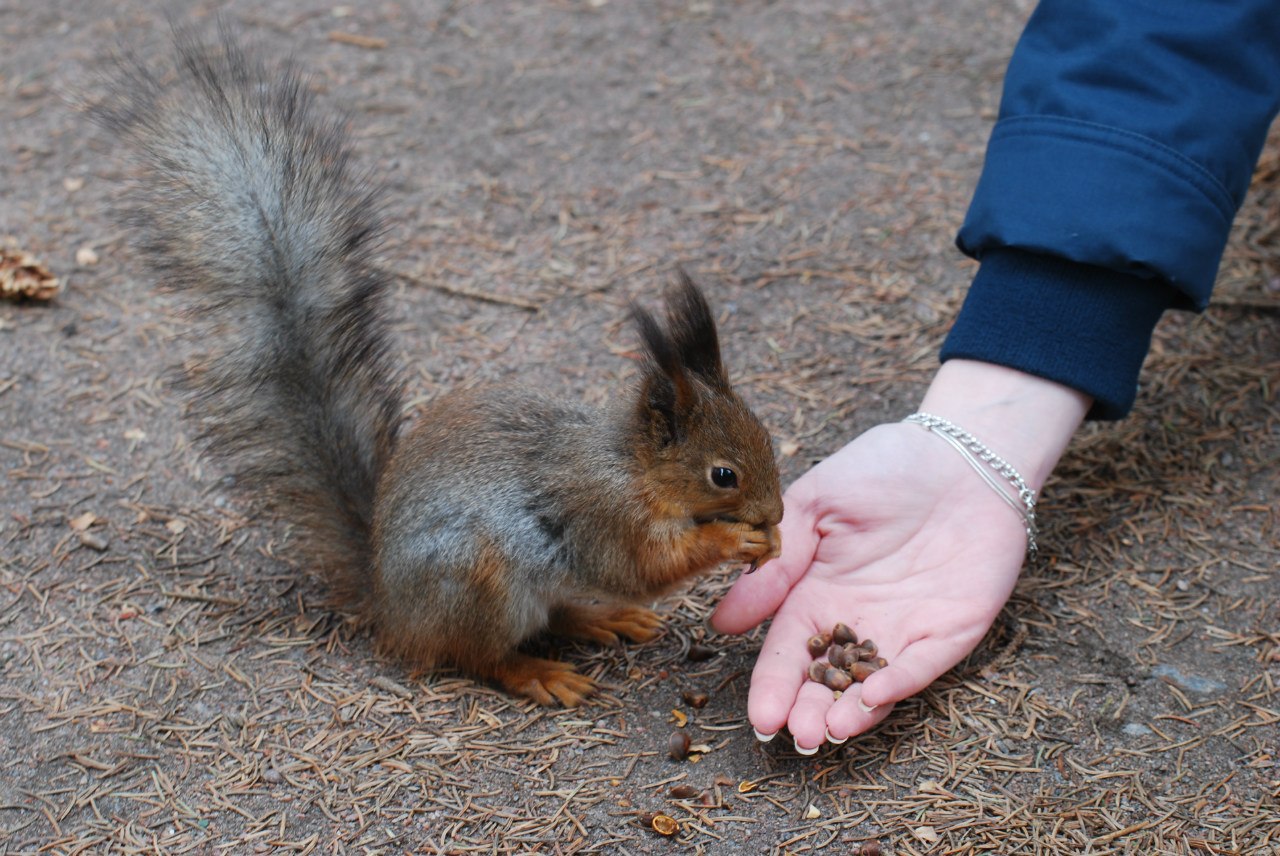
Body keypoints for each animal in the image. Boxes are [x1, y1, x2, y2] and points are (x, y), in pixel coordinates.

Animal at [97, 31, 778, 701]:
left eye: (768, 439)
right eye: (723, 475)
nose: (774, 515)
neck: (633, 467)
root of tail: (391, 606)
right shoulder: (605, 514)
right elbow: (645, 566)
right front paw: (733, 539)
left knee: (553, 615)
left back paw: (602, 619)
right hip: (479, 580)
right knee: (477, 656)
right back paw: (540, 672)